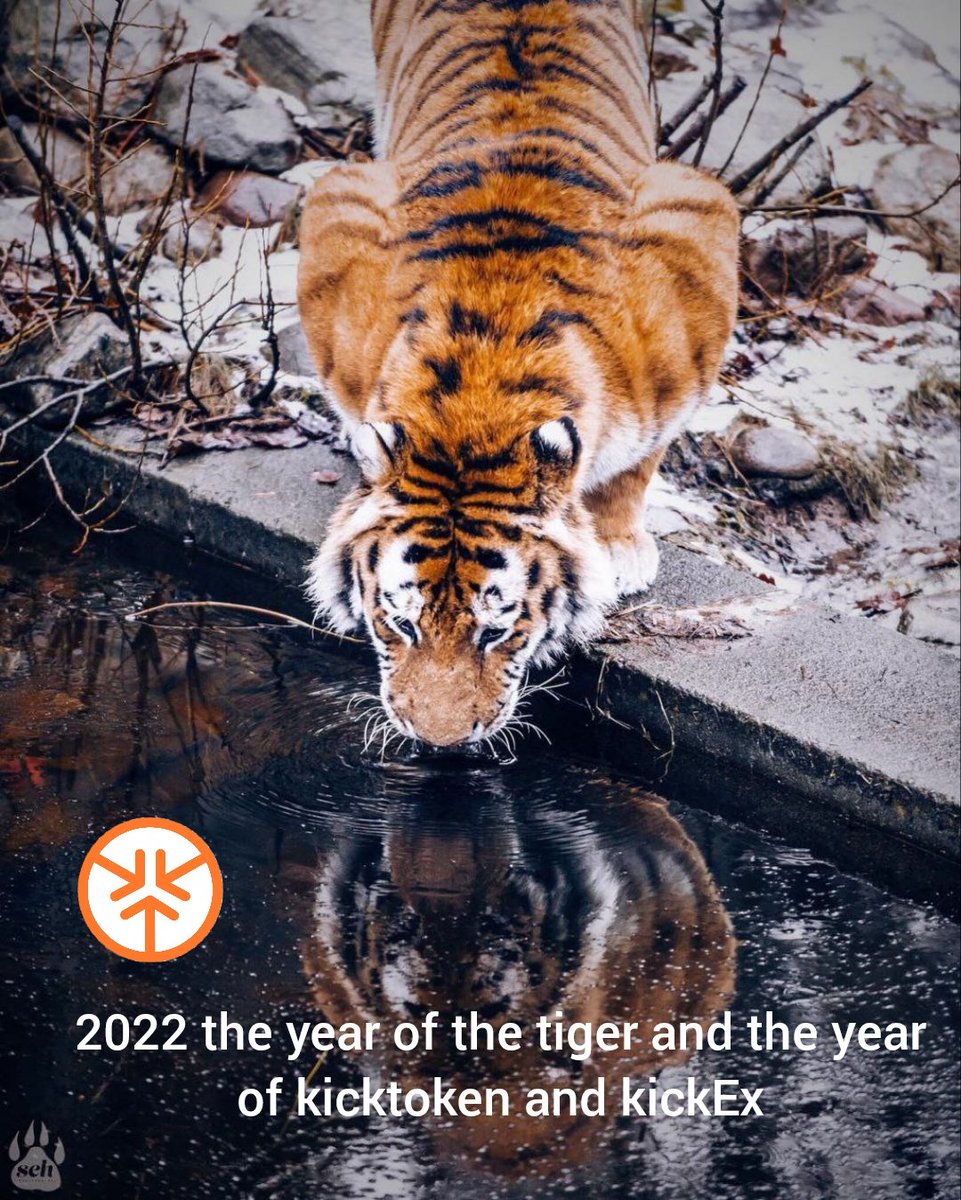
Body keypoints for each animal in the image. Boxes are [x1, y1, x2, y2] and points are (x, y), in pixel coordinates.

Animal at [298, 0, 740, 749]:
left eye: (495, 632)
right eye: (402, 623)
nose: (439, 745)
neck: (478, 397)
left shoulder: (698, 232)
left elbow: (639, 460)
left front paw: (618, 545)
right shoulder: (337, 208)